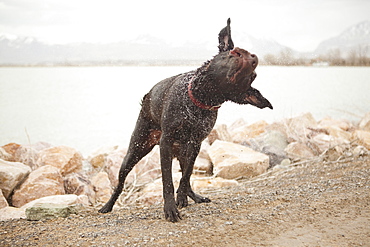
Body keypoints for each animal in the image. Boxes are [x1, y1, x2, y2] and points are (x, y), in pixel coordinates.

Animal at [98, 17, 272, 222]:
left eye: (252, 76)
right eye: (232, 53)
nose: (251, 56)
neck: (199, 100)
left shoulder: (195, 144)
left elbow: (185, 176)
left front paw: (181, 198)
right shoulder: (166, 143)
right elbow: (168, 182)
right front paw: (170, 208)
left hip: (182, 151)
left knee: (186, 178)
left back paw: (192, 196)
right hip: (135, 150)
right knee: (120, 183)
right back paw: (107, 206)